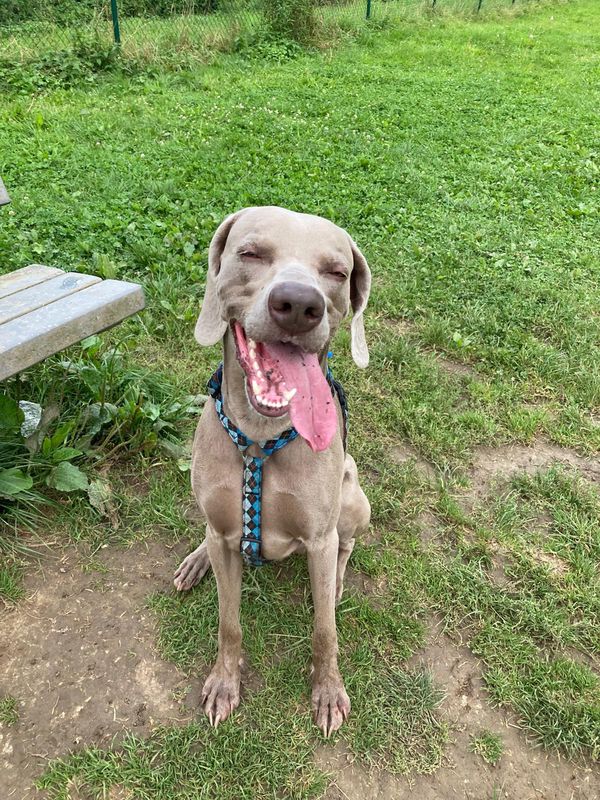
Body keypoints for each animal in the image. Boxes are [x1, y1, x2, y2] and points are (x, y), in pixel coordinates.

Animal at [173, 206, 370, 736]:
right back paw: (195, 560)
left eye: (336, 273)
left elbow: (324, 631)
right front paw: (224, 684)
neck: (261, 439)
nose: (299, 305)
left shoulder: (319, 537)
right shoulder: (225, 534)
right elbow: (229, 623)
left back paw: (338, 583)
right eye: (251, 253)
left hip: (354, 495)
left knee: (346, 545)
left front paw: (328, 692)